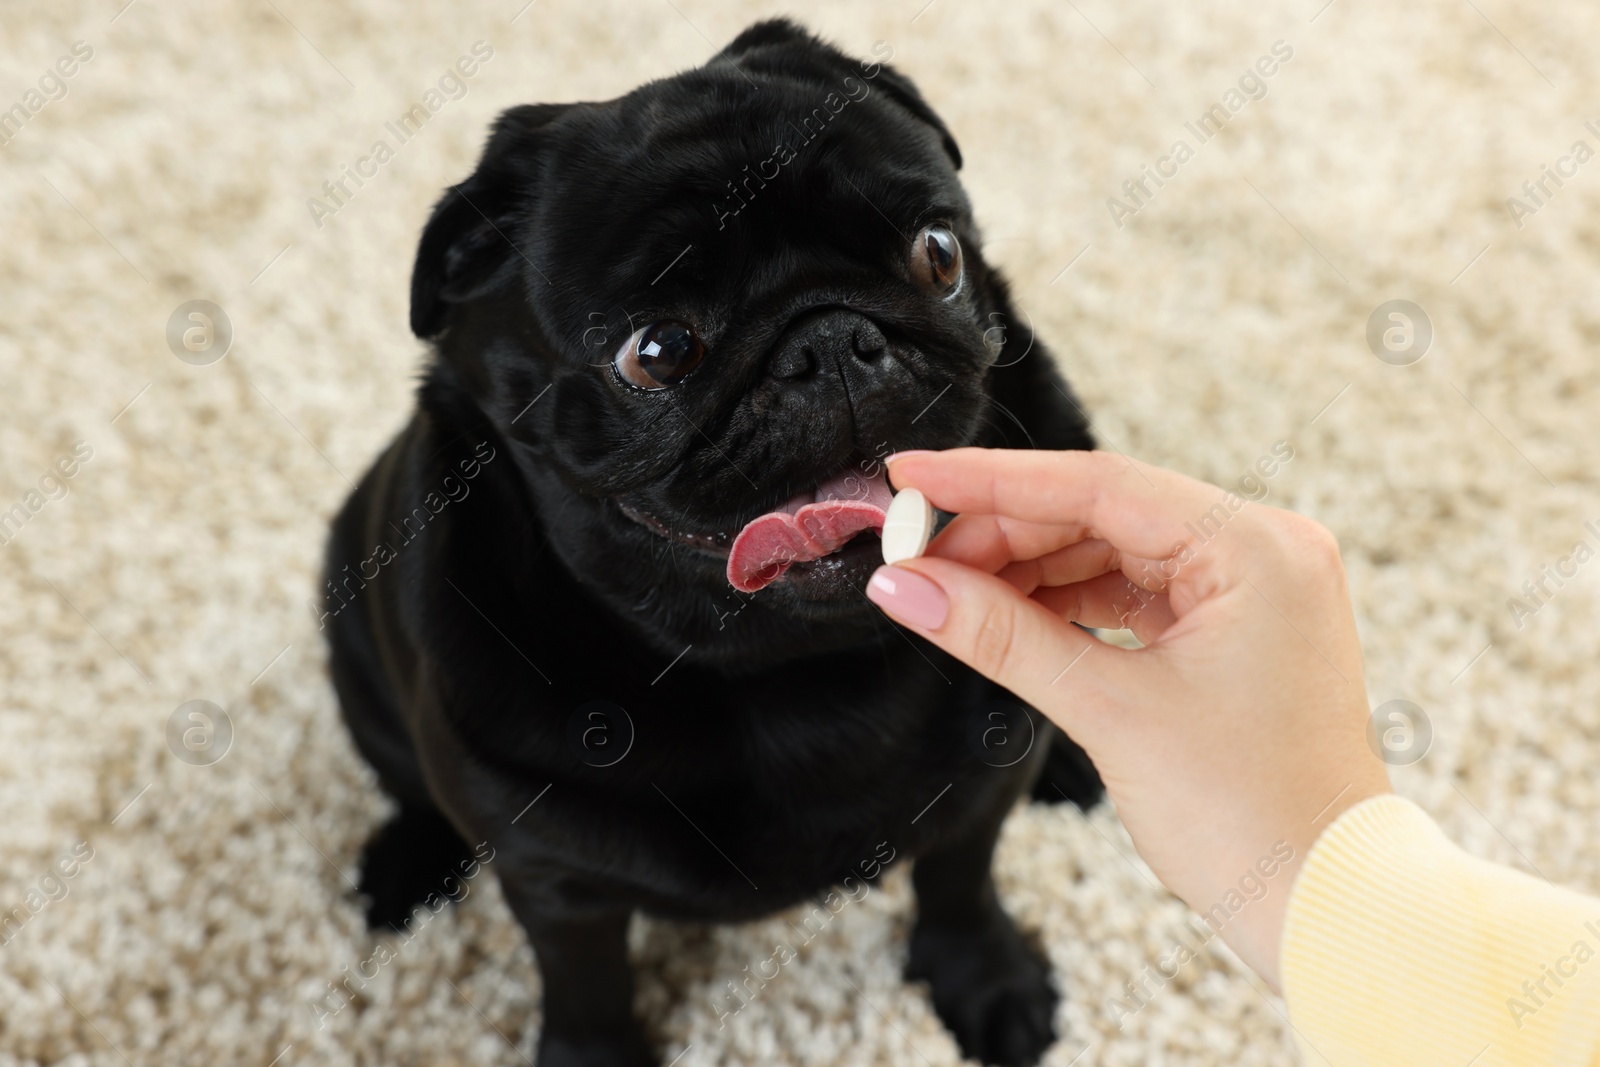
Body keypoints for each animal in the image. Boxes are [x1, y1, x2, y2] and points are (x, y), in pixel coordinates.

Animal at [321, 18, 1100, 1067]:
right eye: (656, 352)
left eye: (938, 255)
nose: (828, 338)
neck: (787, 666)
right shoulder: (553, 879)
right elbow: (585, 984)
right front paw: (593, 1056)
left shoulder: (986, 779)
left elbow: (961, 883)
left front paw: (988, 980)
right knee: (401, 777)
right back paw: (409, 861)